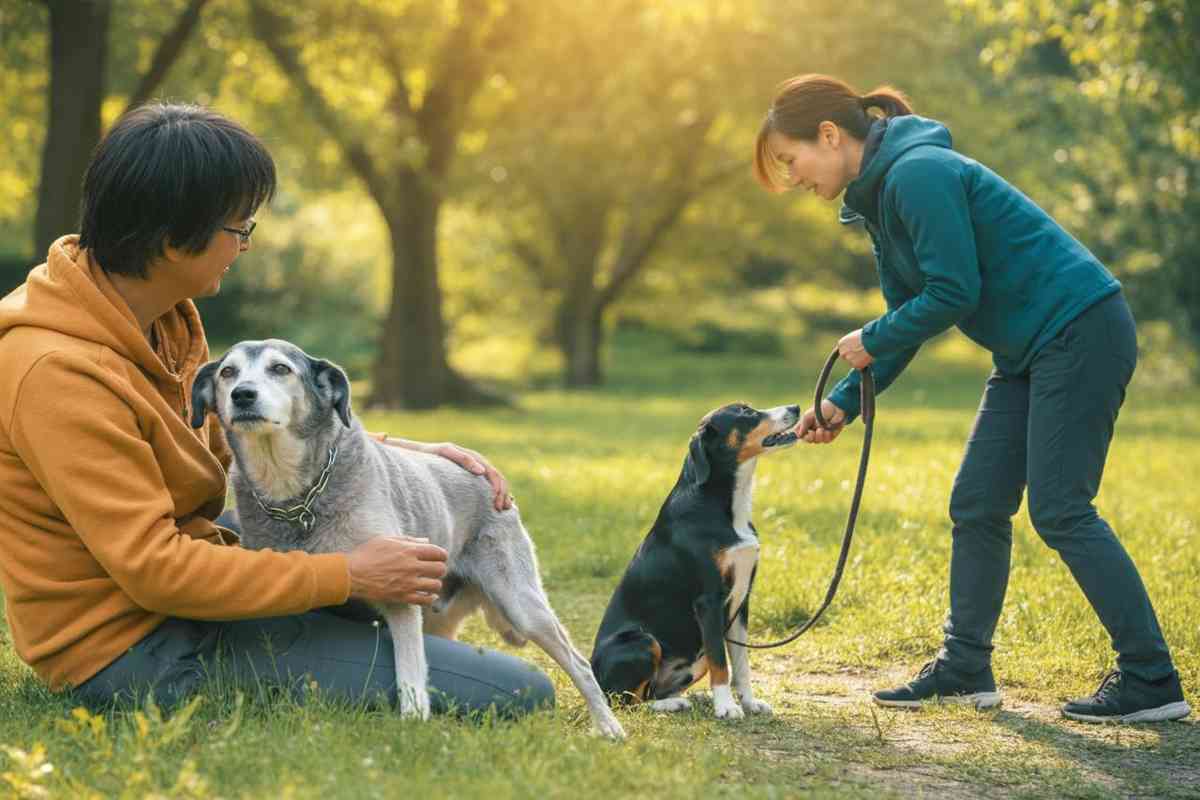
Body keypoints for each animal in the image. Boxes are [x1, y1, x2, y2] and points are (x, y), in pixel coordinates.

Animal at [192, 338, 624, 738]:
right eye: (227, 372)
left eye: (280, 368)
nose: (242, 394)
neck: (297, 496)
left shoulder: (402, 595)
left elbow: (410, 669)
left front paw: (413, 721)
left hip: (521, 603)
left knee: (578, 663)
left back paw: (608, 726)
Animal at [588, 400, 796, 719]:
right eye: (746, 413)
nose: (796, 407)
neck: (726, 507)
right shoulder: (709, 601)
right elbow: (722, 664)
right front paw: (726, 707)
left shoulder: (741, 602)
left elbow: (741, 664)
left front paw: (748, 702)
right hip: (643, 642)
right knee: (626, 702)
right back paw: (672, 704)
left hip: (694, 659)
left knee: (652, 691)